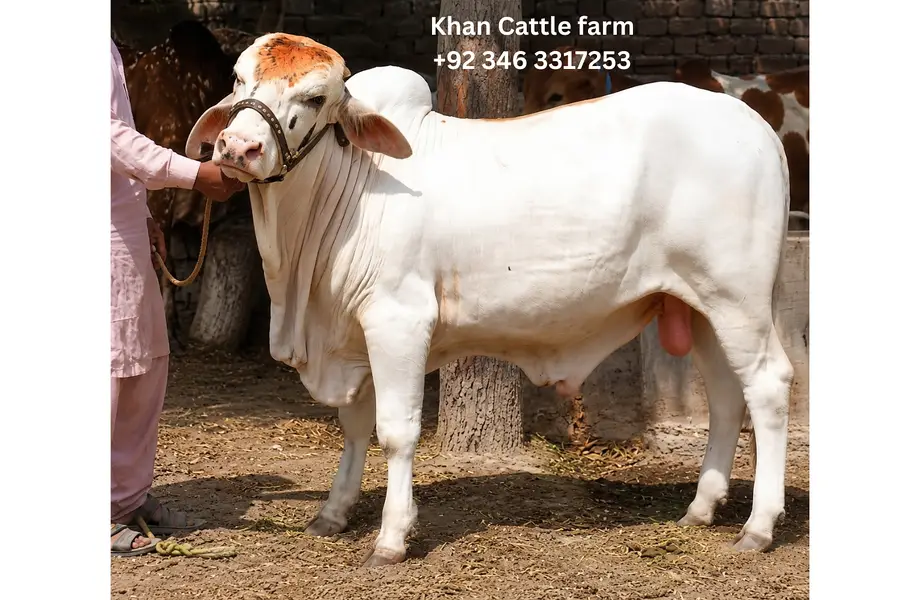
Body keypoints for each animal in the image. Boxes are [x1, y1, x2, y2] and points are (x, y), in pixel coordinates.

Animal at [186, 33, 795, 567]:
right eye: (239, 78)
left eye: (314, 98)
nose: (239, 147)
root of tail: (756, 126)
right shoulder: (352, 335)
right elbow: (356, 426)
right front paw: (333, 513)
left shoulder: (397, 321)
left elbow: (396, 432)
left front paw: (392, 537)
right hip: (699, 306)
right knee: (726, 396)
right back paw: (701, 508)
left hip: (737, 299)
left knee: (767, 387)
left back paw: (758, 526)